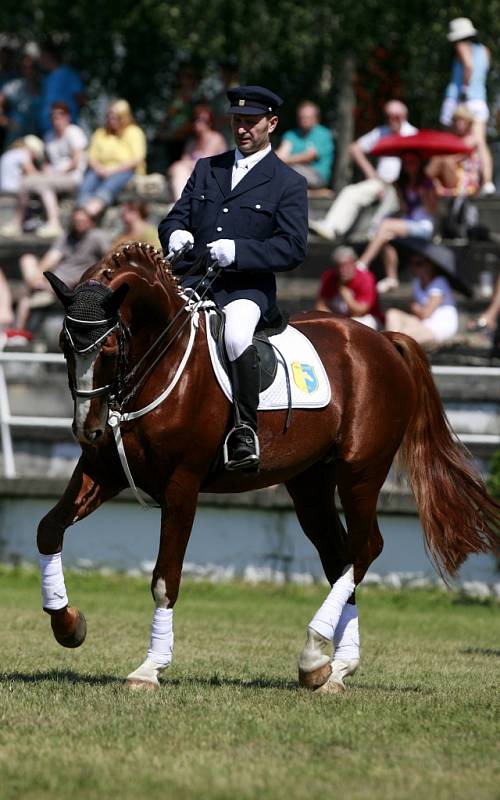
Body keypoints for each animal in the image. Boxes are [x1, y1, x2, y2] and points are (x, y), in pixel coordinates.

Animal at [40, 242, 500, 692]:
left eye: (109, 348)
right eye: (64, 344)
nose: (88, 429)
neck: (163, 362)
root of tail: (382, 341)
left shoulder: (181, 486)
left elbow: (164, 580)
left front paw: (150, 668)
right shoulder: (103, 472)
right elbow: (48, 530)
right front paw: (68, 625)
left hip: (362, 471)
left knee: (365, 548)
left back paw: (314, 652)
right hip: (311, 483)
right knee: (340, 557)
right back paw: (335, 669)